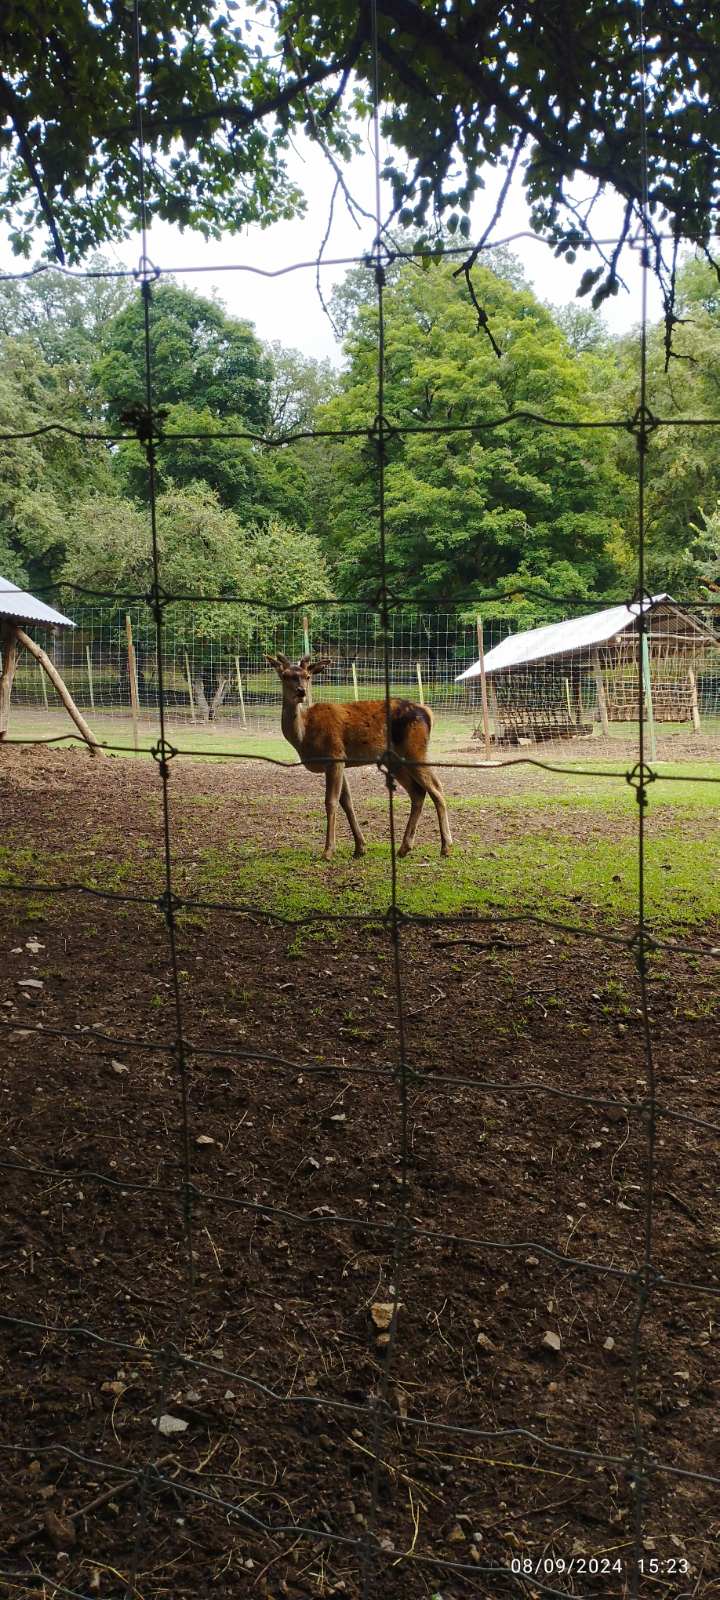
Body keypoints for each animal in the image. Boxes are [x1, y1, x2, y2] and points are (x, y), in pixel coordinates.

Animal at [266, 653, 452, 860]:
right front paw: (360, 847)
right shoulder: (341, 761)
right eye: (285, 676)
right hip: (396, 760)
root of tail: (428, 713)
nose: (301, 691)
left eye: (307, 676)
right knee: (418, 792)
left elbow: (331, 801)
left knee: (436, 787)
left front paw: (328, 851)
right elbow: (347, 802)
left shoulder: (334, 755)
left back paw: (446, 846)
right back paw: (404, 847)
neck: (304, 736)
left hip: (415, 751)